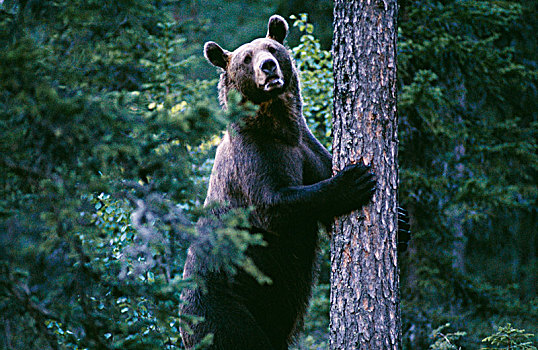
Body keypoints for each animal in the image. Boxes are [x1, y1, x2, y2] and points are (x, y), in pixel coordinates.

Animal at [179, 14, 372, 350]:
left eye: (271, 48)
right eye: (246, 58)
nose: (268, 67)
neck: (278, 127)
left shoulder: (306, 148)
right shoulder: (253, 160)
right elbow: (275, 204)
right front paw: (354, 180)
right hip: (221, 306)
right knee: (239, 335)